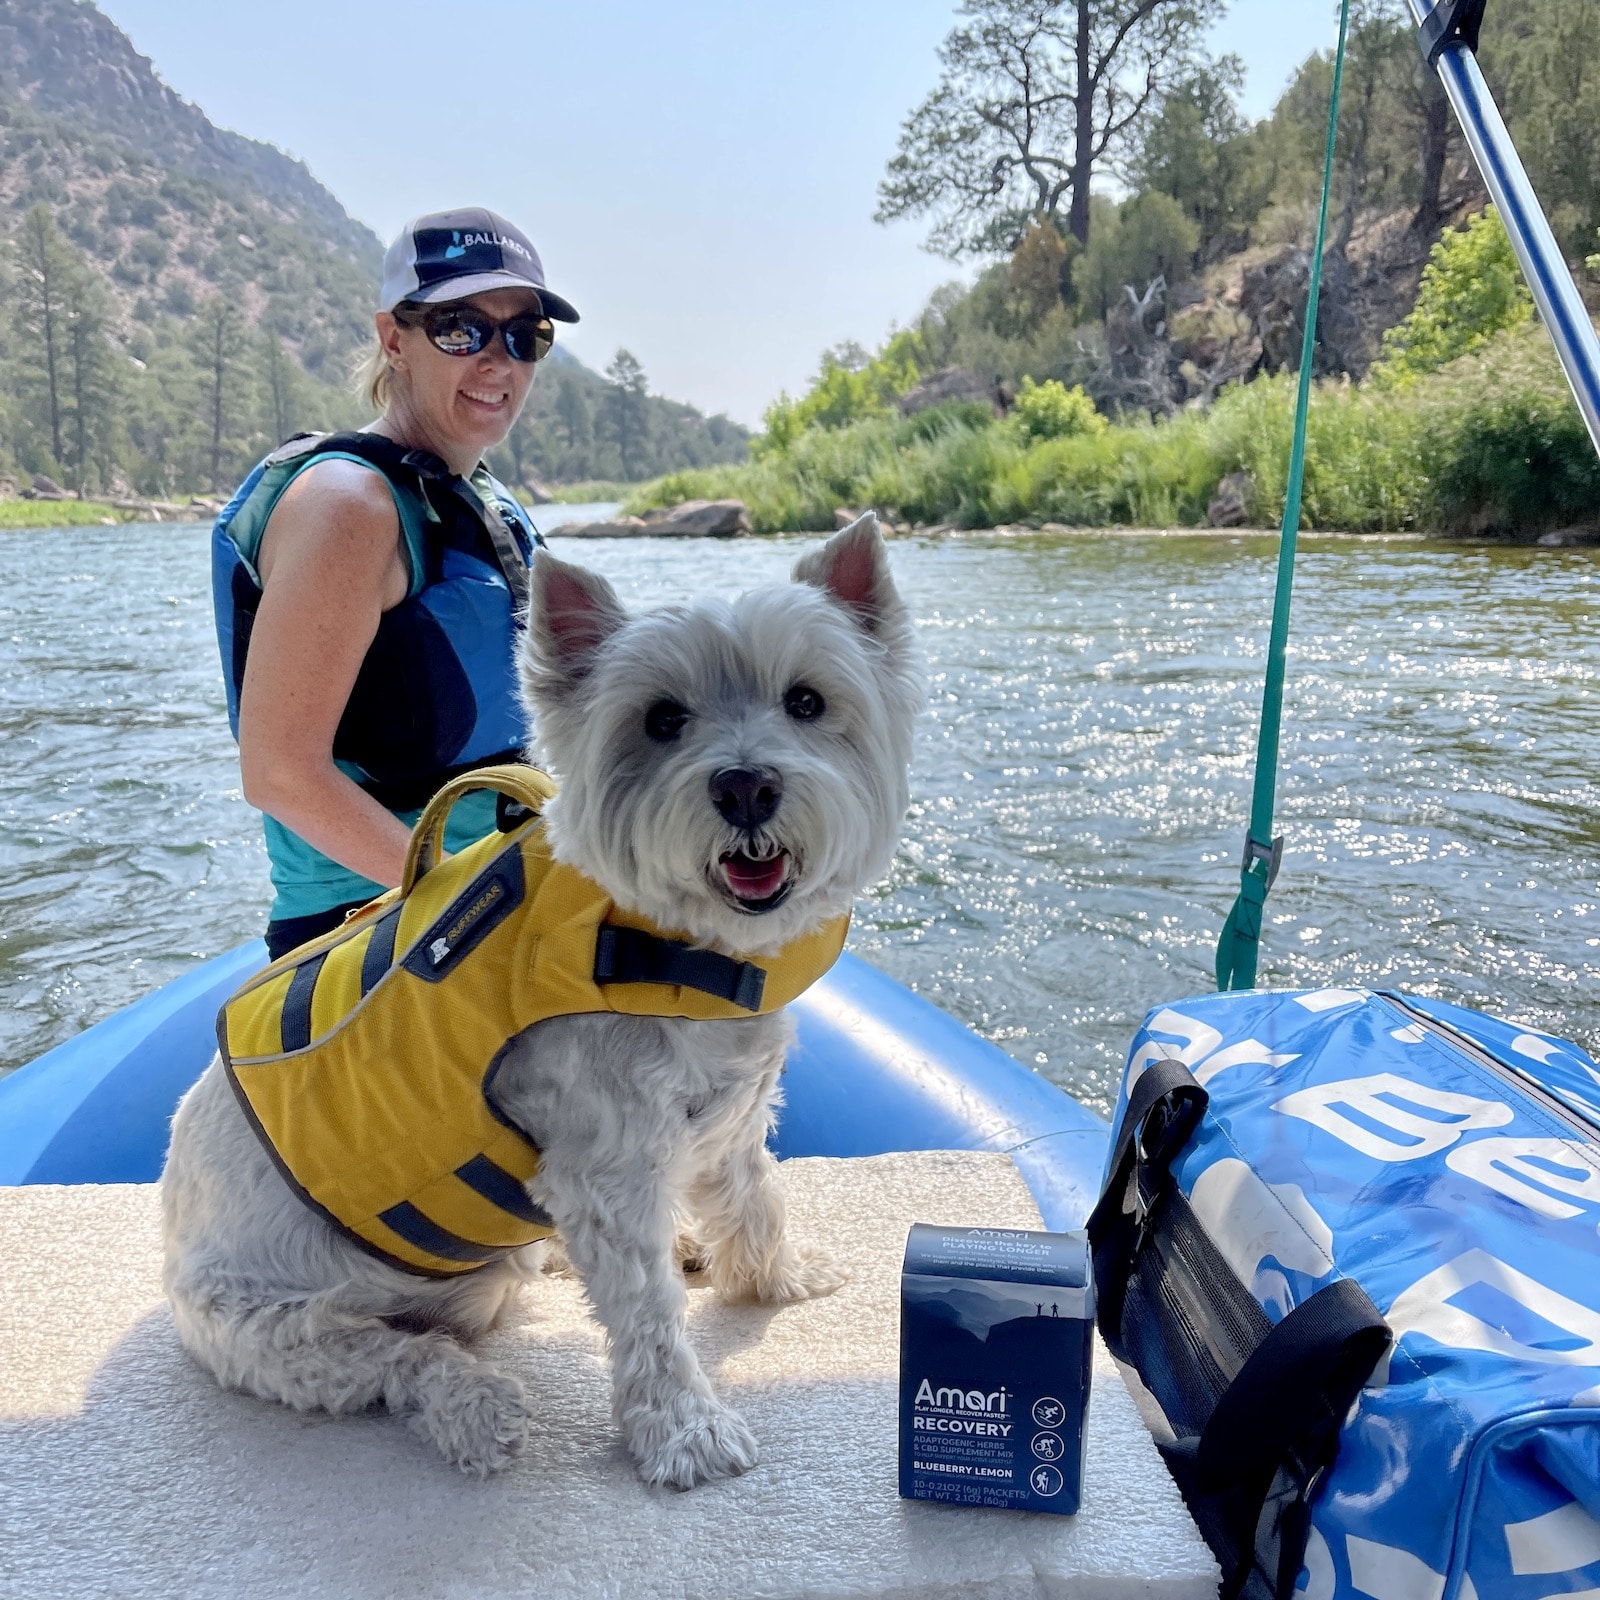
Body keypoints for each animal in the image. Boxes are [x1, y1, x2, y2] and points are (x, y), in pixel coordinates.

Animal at [159, 512, 928, 1484]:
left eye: (806, 701)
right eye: (662, 719)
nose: (747, 786)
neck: (680, 945)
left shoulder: (731, 1109)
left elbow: (754, 1193)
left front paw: (775, 1277)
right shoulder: (607, 1156)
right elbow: (647, 1313)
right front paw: (684, 1431)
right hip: (282, 1327)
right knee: (399, 1358)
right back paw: (478, 1407)